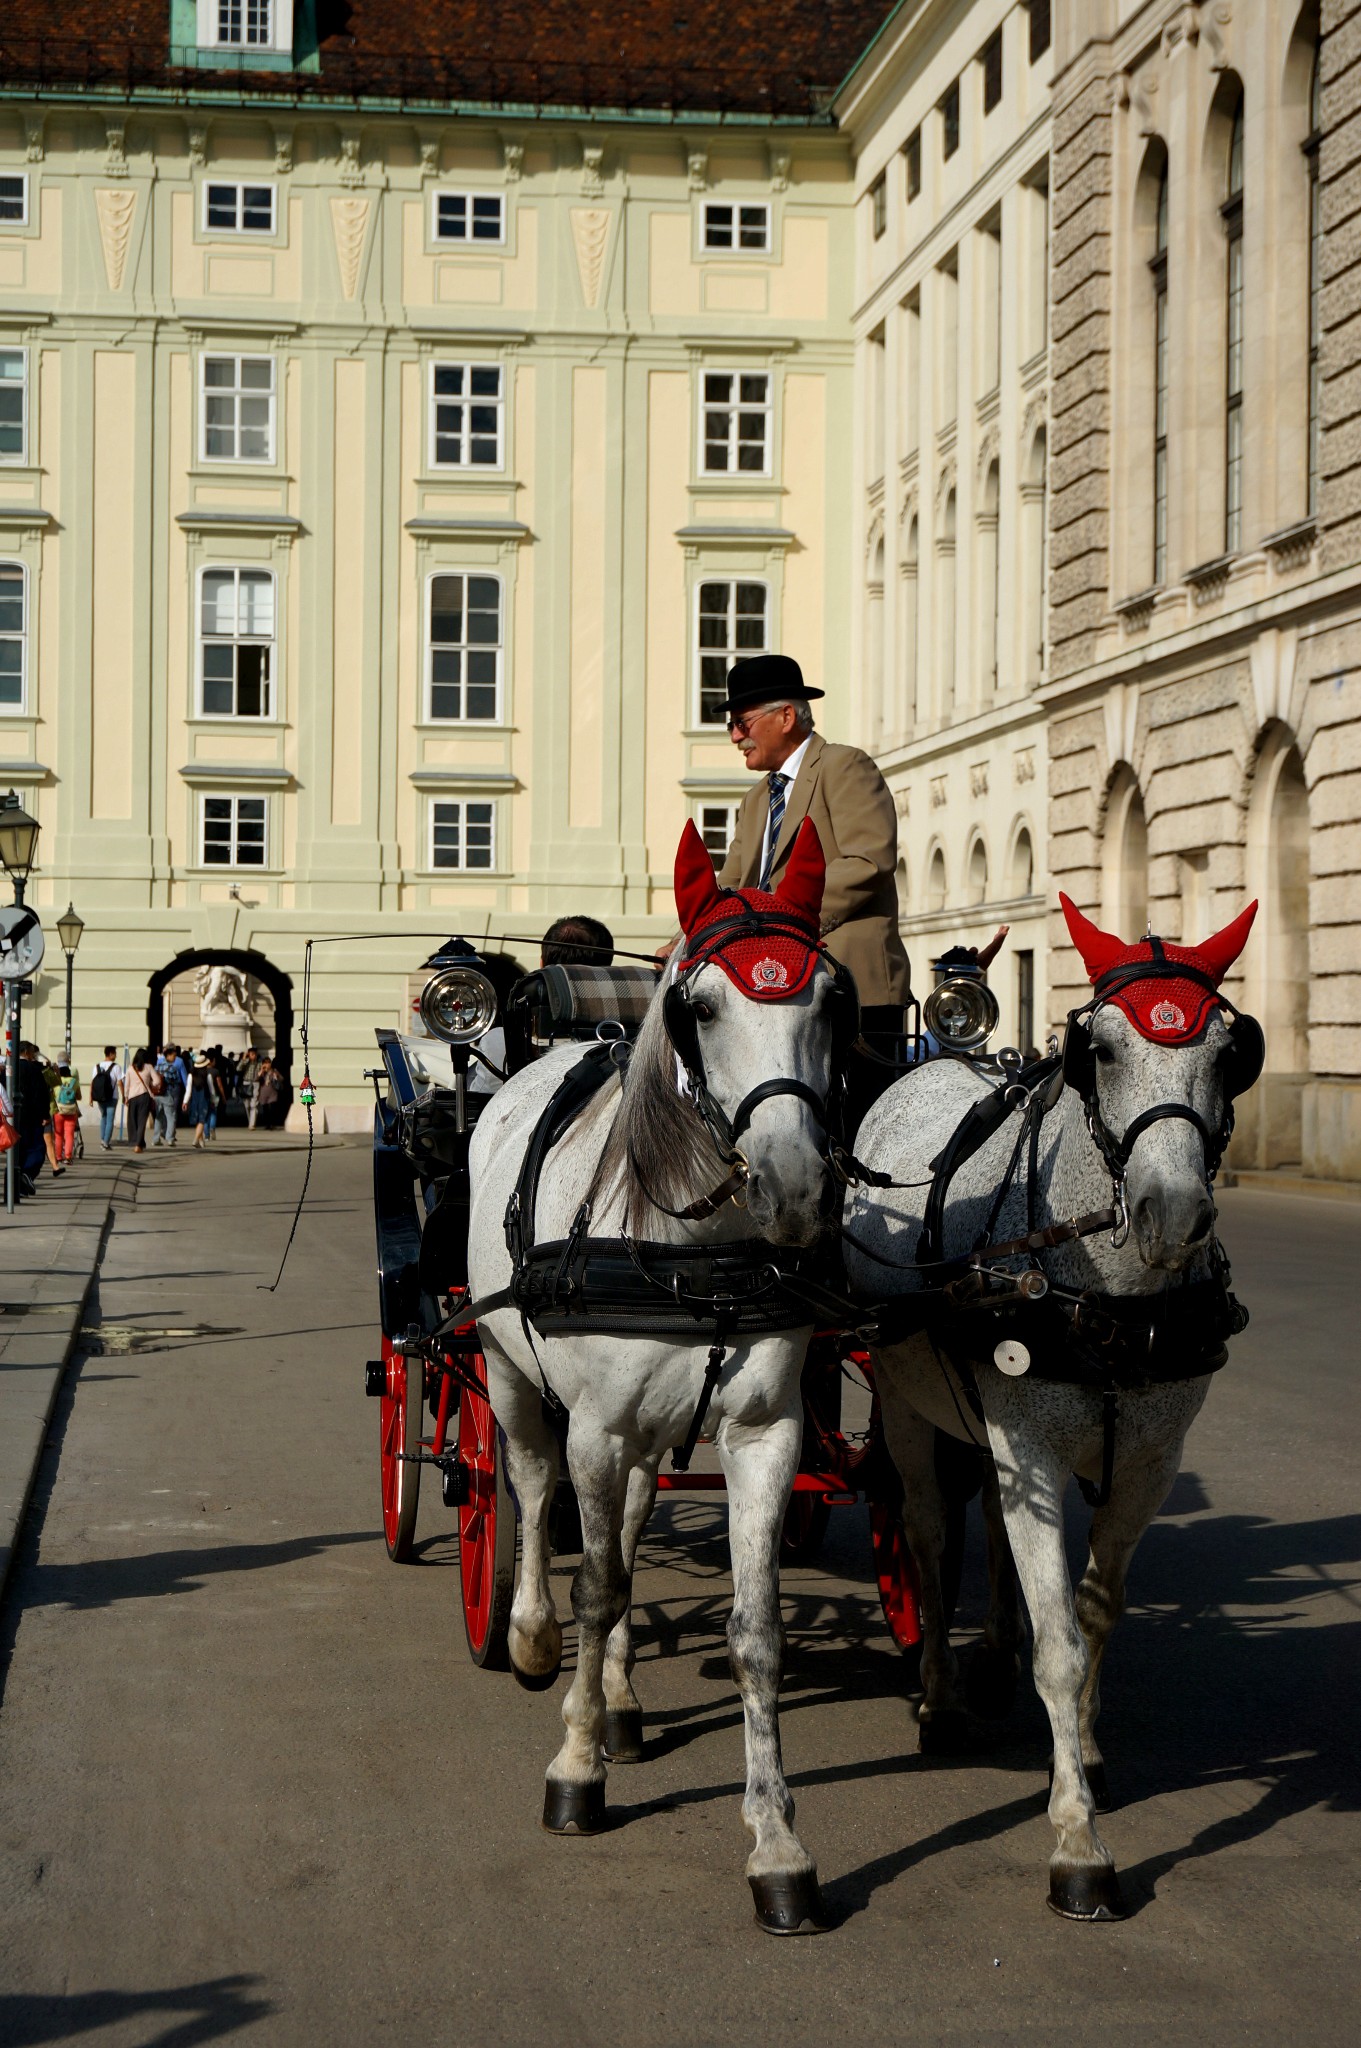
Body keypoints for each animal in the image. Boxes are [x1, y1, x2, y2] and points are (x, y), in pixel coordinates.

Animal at [466, 819, 851, 1933]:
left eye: (830, 999)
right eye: (701, 1005)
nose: (793, 1188)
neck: (694, 1257)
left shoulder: (765, 1433)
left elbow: (755, 1628)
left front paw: (775, 1843)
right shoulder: (591, 1426)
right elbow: (594, 1586)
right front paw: (575, 1769)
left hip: (641, 1437)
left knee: (631, 1526)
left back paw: (626, 1701)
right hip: (507, 1374)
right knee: (531, 1488)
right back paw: (532, 1640)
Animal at [843, 897, 1260, 1916]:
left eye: (1229, 1051)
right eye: (1096, 1051)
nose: (1170, 1215)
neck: (1108, 1291)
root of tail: (946, 1056)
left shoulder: (1146, 1464)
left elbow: (1094, 1610)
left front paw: (1088, 1751)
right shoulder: (1026, 1443)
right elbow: (1062, 1645)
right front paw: (1077, 1843)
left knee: (993, 1525)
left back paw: (994, 1652)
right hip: (906, 1404)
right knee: (927, 1534)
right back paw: (941, 1697)